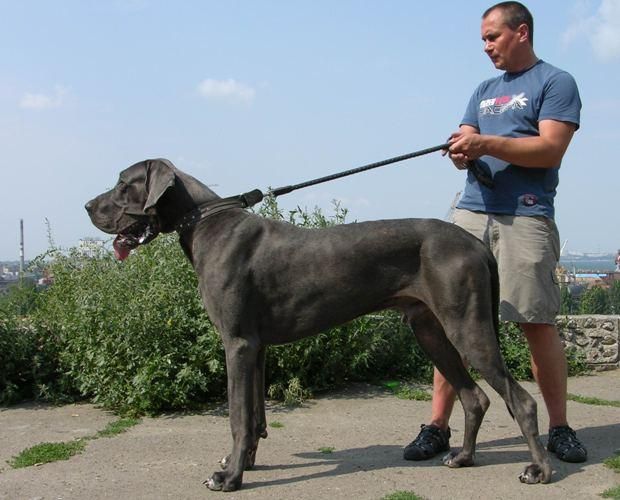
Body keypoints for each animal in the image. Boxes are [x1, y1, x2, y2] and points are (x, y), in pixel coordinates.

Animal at [85, 158, 551, 491]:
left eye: (124, 183)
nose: (87, 206)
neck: (206, 222)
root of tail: (475, 243)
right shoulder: (256, 347)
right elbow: (254, 416)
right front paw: (245, 462)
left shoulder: (237, 343)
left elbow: (237, 416)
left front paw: (229, 477)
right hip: (430, 330)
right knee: (475, 397)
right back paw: (464, 457)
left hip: (466, 326)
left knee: (521, 401)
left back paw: (538, 469)